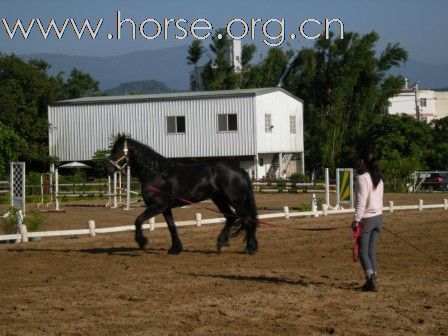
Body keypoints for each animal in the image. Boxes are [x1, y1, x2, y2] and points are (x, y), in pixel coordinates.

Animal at [106, 134, 258, 255]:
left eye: (119, 150)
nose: (108, 168)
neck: (157, 174)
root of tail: (239, 171)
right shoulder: (166, 208)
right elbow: (171, 227)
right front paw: (175, 249)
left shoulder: (157, 206)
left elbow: (138, 221)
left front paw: (142, 242)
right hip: (219, 199)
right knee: (231, 218)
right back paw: (221, 243)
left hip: (235, 201)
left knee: (247, 219)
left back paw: (249, 249)